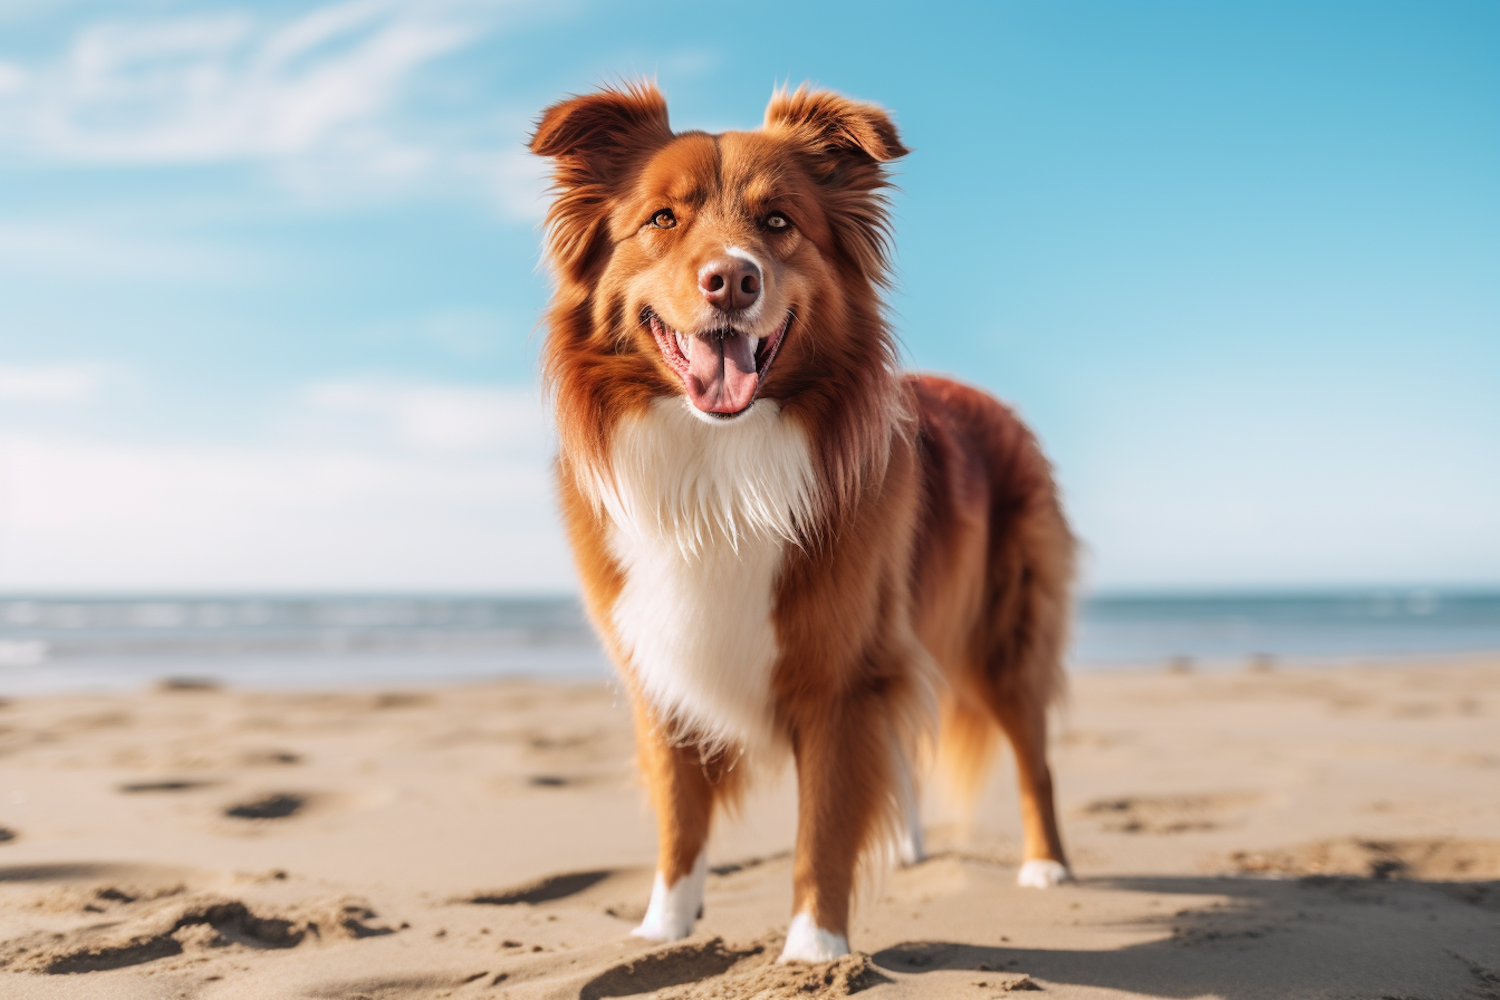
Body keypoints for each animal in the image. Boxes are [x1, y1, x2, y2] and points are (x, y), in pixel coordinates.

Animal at [534, 80, 1074, 959]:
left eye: (779, 222)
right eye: (662, 219)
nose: (730, 280)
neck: (719, 461)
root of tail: (987, 397)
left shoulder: (842, 674)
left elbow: (824, 821)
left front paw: (815, 953)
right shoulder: (663, 663)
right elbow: (679, 816)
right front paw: (664, 932)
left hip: (1004, 633)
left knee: (1035, 755)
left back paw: (1048, 866)